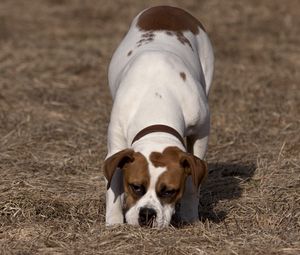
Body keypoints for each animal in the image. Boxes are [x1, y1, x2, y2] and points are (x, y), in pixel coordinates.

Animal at [103, 5, 213, 227]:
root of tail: (168, 8)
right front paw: (114, 222)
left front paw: (190, 217)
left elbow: (192, 185)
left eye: (169, 191)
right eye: (136, 186)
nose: (147, 214)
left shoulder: (201, 133)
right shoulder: (116, 149)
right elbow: (113, 187)